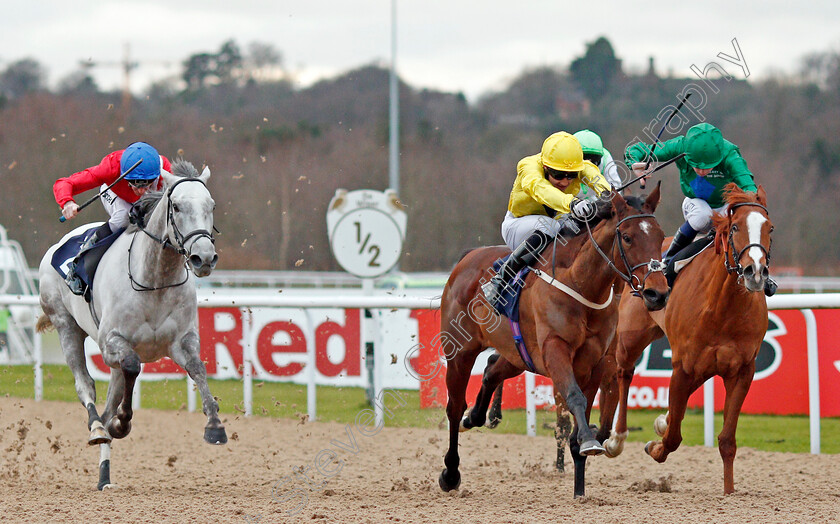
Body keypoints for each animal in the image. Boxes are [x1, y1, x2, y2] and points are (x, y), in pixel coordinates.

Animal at [37, 160, 223, 492]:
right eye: (176, 206)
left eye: (211, 205)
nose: (204, 258)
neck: (155, 279)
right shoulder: (112, 342)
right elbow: (132, 367)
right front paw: (121, 422)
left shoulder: (182, 342)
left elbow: (198, 369)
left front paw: (214, 424)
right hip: (65, 325)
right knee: (85, 385)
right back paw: (98, 427)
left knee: (110, 397)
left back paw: (104, 476)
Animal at [440, 187, 668, 496]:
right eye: (628, 237)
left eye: (659, 235)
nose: (658, 293)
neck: (580, 284)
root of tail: (468, 257)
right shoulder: (555, 349)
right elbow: (574, 396)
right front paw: (589, 441)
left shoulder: (596, 361)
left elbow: (582, 411)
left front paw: (580, 488)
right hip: (459, 352)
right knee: (454, 407)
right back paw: (451, 473)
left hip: (517, 355)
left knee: (490, 371)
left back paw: (475, 417)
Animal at [604, 184, 776, 496]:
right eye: (735, 227)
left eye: (770, 228)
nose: (755, 272)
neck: (722, 307)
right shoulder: (682, 367)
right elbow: (673, 438)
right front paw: (656, 446)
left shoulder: (742, 370)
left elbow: (727, 440)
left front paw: (729, 491)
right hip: (631, 337)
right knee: (624, 373)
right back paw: (617, 438)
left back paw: (662, 420)